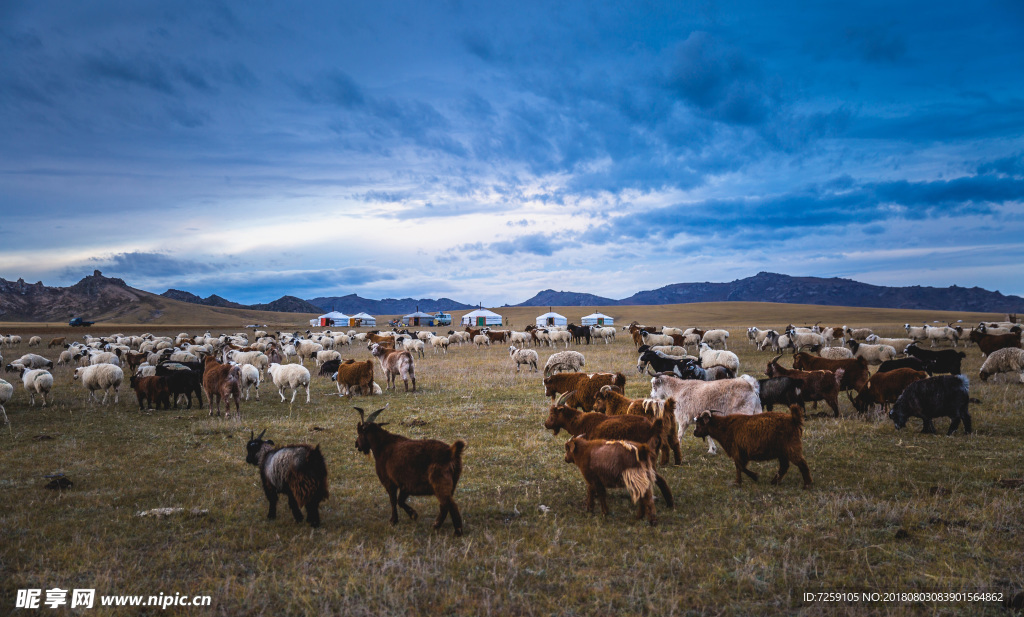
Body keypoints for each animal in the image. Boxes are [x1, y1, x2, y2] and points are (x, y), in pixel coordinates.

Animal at [352, 405, 464, 536]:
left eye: (359, 431)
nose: (356, 444)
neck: (383, 445)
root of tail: (450, 452)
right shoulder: (405, 486)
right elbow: (400, 501)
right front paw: (413, 515)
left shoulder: (389, 482)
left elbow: (393, 501)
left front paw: (394, 520)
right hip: (452, 483)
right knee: (444, 505)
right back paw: (436, 525)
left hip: (440, 483)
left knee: (450, 504)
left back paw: (456, 531)